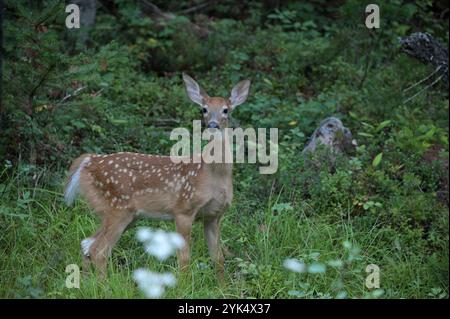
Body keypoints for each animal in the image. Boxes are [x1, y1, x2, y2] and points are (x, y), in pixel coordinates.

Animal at [64, 74, 251, 278]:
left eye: (226, 109)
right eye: (204, 109)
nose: (213, 125)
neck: (213, 176)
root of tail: (88, 162)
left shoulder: (213, 216)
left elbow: (218, 260)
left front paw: (222, 284)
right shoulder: (183, 209)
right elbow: (184, 259)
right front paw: (183, 283)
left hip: (119, 214)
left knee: (87, 243)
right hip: (116, 208)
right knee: (99, 250)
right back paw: (102, 283)